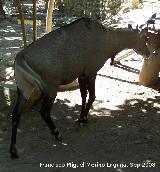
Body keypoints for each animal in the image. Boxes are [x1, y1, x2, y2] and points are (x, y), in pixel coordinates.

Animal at [9, 17, 150, 159]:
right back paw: (57, 133)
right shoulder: (91, 73)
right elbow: (92, 96)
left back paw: (13, 151)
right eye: (145, 37)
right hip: (51, 89)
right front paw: (84, 119)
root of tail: (20, 57)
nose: (148, 54)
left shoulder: (81, 75)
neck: (107, 38)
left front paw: (81, 117)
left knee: (16, 114)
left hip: (24, 91)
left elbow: (83, 96)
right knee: (44, 112)